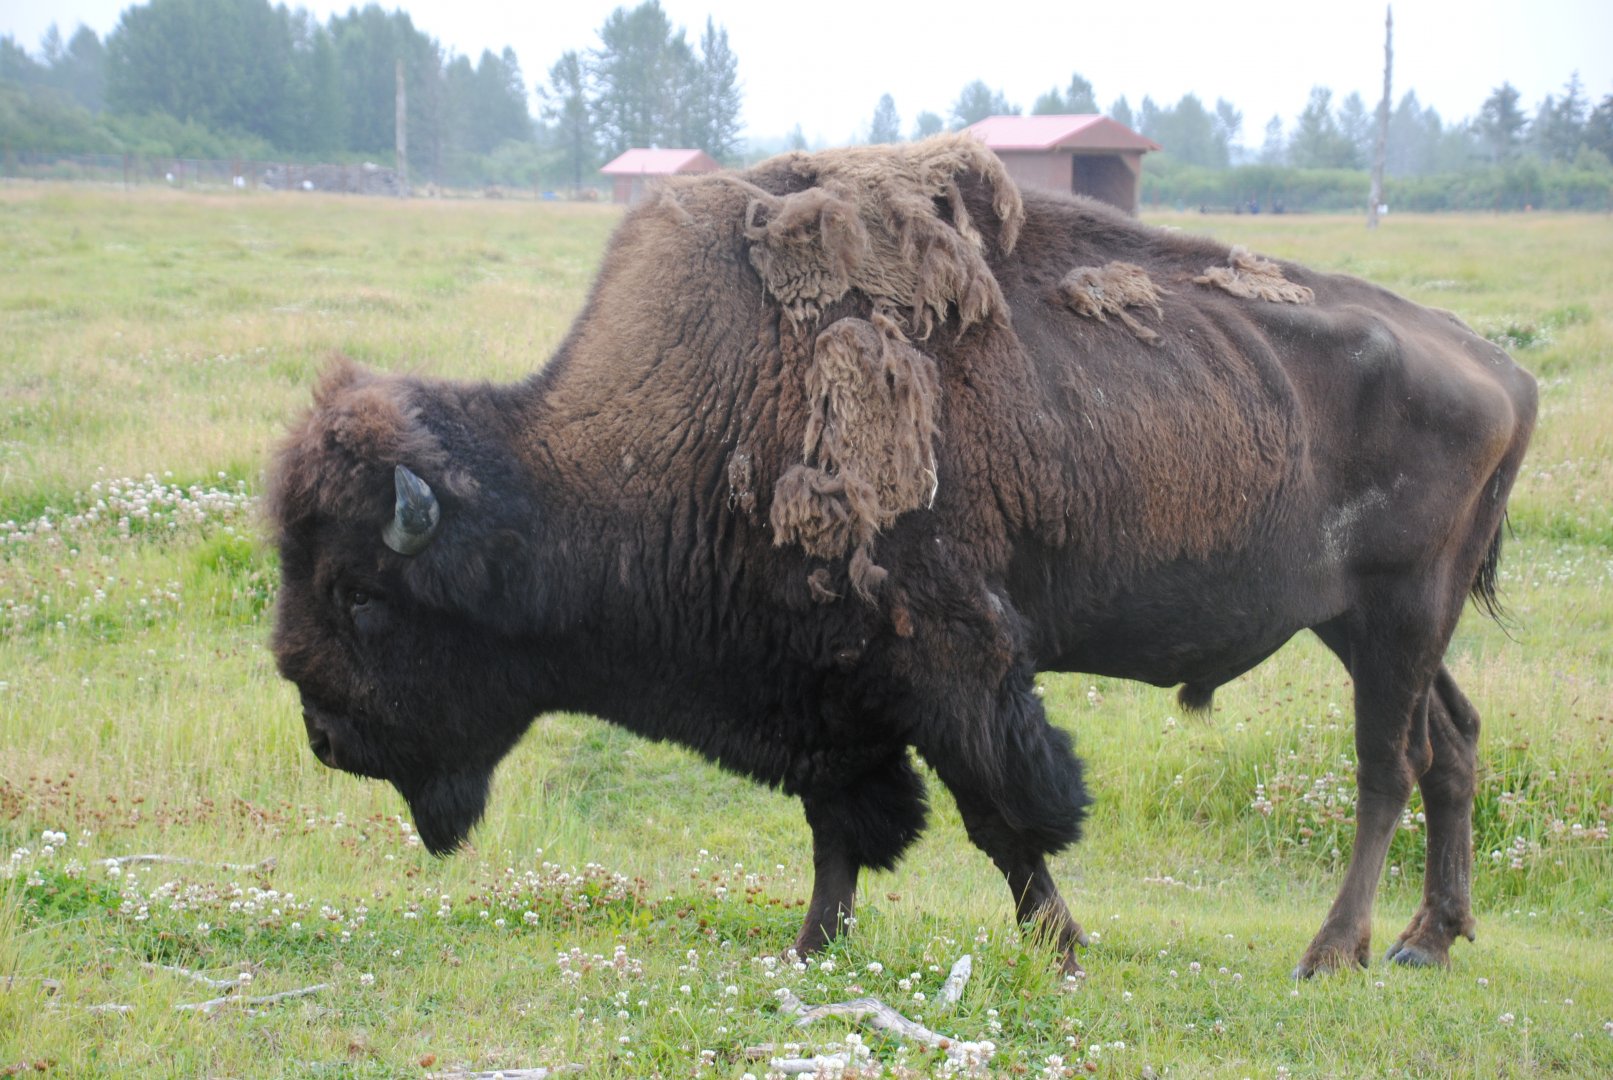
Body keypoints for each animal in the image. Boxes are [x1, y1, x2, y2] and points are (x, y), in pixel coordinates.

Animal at [268, 136, 1535, 977]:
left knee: (1384, 768)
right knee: (1451, 744)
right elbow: (844, 823)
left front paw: (1058, 946)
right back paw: (1429, 940)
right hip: (1364, 626)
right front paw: (810, 946)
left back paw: (1332, 951)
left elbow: (1000, 814)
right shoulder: (830, 685)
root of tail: (1498, 369)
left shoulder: (951, 660)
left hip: (1394, 616)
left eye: (363, 598)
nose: (323, 737)